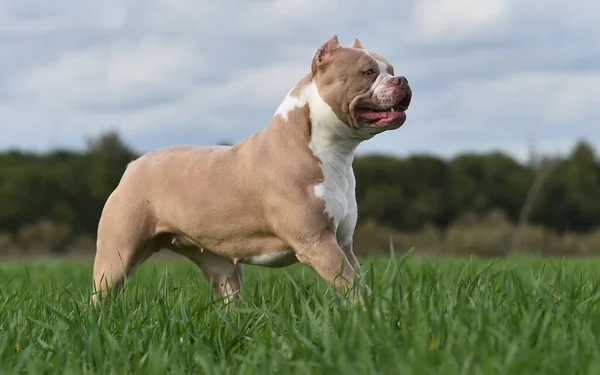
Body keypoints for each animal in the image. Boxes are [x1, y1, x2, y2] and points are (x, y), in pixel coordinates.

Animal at [91, 36, 412, 308]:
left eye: (391, 69)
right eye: (368, 72)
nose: (404, 79)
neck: (332, 152)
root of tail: (133, 165)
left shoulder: (343, 244)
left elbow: (358, 281)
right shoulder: (318, 244)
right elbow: (355, 289)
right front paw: (373, 315)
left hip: (219, 266)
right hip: (117, 255)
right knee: (101, 295)